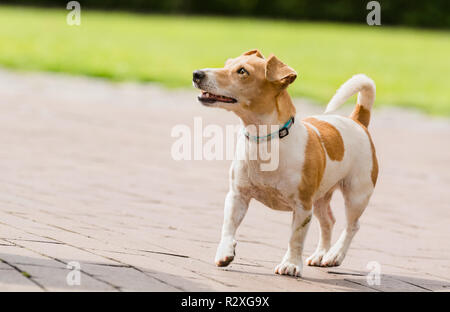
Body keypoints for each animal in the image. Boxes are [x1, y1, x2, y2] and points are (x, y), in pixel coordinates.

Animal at [192, 50, 378, 276]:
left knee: (352, 226)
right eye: (227, 64)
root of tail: (357, 120)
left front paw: (290, 264)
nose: (196, 74)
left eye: (242, 71)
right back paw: (320, 255)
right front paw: (225, 252)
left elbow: (295, 238)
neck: (264, 140)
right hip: (320, 198)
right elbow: (228, 227)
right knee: (328, 222)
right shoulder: (237, 196)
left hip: (356, 194)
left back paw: (335, 255)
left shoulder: (302, 207)